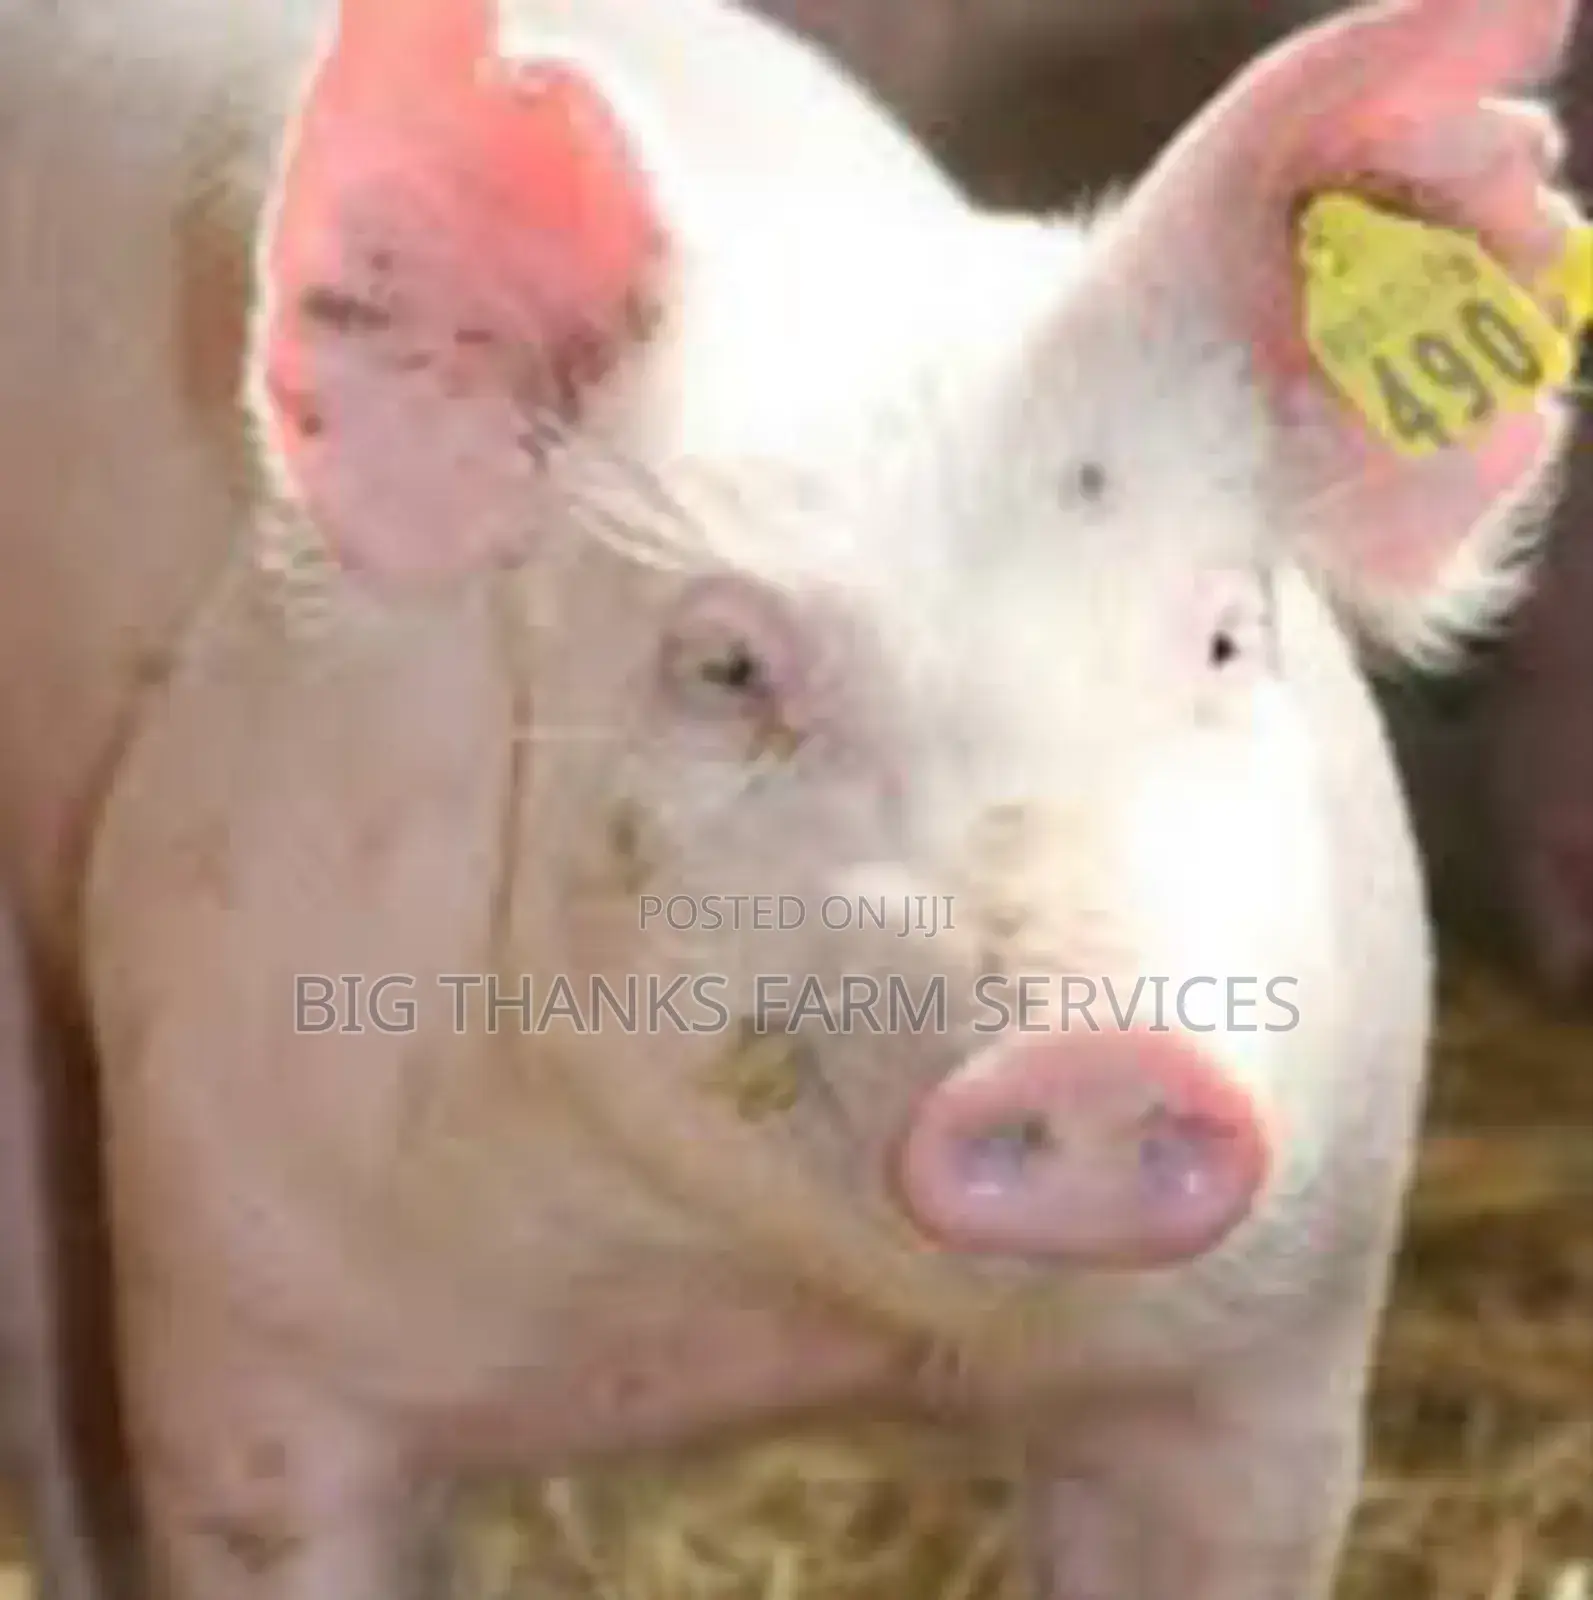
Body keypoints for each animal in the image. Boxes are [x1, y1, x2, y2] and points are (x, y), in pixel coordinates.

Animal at [0, 0, 1583, 1597]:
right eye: (725, 667)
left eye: (1222, 637)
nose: (1091, 1052)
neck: (748, 1316)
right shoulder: (250, 1331)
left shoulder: (1272, 1361)